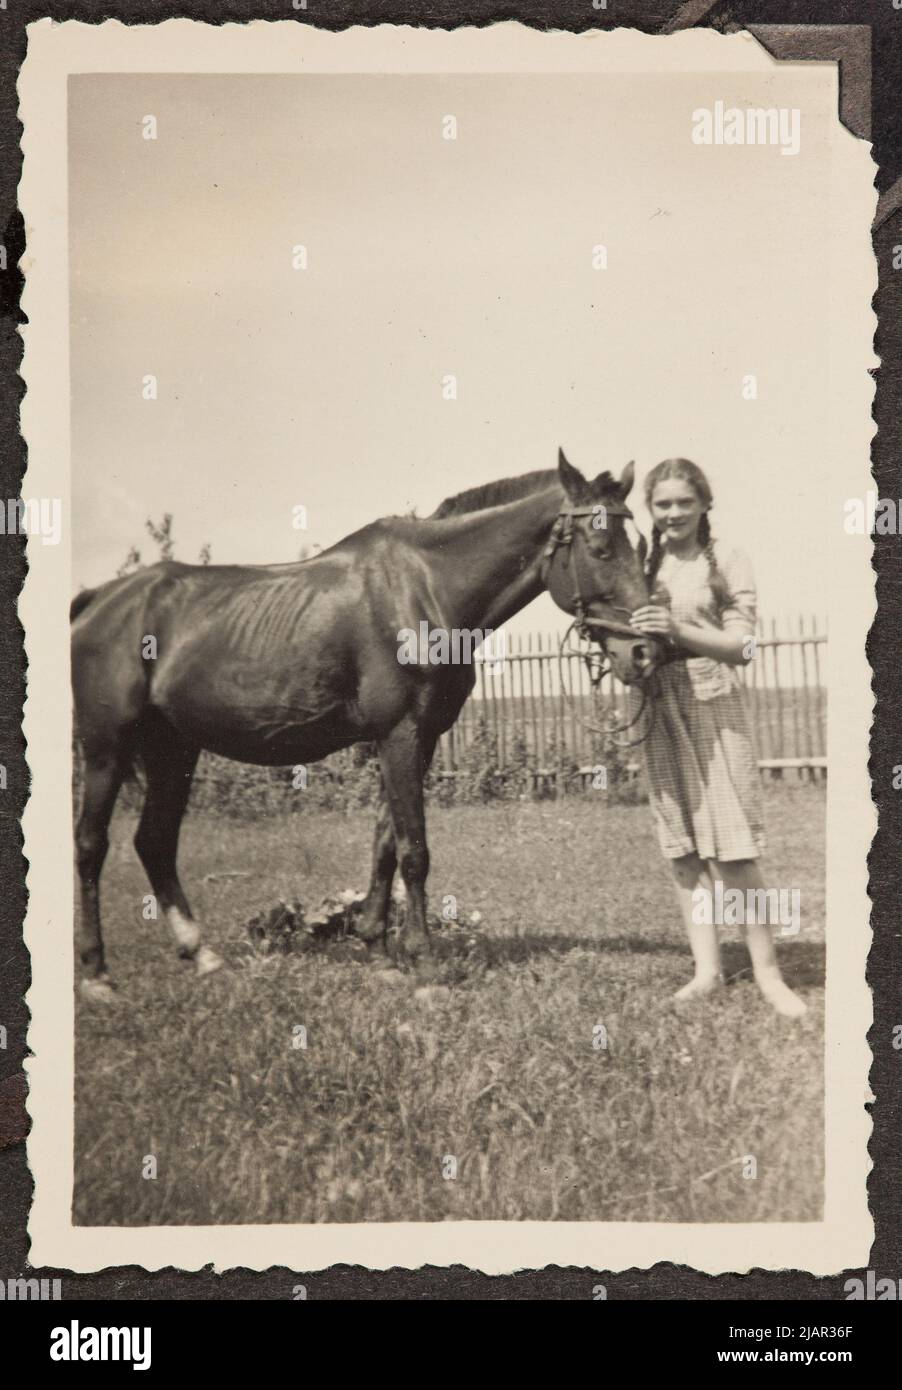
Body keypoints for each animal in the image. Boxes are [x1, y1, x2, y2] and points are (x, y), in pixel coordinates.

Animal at [72, 447, 661, 1000]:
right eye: (601, 548)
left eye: (643, 547)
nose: (643, 651)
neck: (425, 589)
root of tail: (96, 601)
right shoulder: (399, 734)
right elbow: (414, 850)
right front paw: (424, 962)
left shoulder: (420, 738)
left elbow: (385, 843)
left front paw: (378, 949)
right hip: (107, 747)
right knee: (91, 843)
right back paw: (97, 973)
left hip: (173, 748)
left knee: (154, 841)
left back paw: (202, 954)